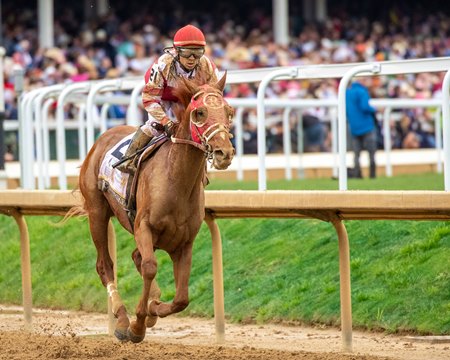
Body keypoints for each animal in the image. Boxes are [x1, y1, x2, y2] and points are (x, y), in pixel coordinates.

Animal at [77, 74, 234, 344]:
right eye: (200, 112)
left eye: (229, 111)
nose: (225, 153)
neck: (176, 181)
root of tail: (103, 137)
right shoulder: (144, 227)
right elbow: (150, 267)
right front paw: (137, 324)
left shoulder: (184, 242)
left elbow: (181, 299)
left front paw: (153, 308)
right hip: (97, 212)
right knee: (105, 265)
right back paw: (122, 320)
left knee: (135, 257)